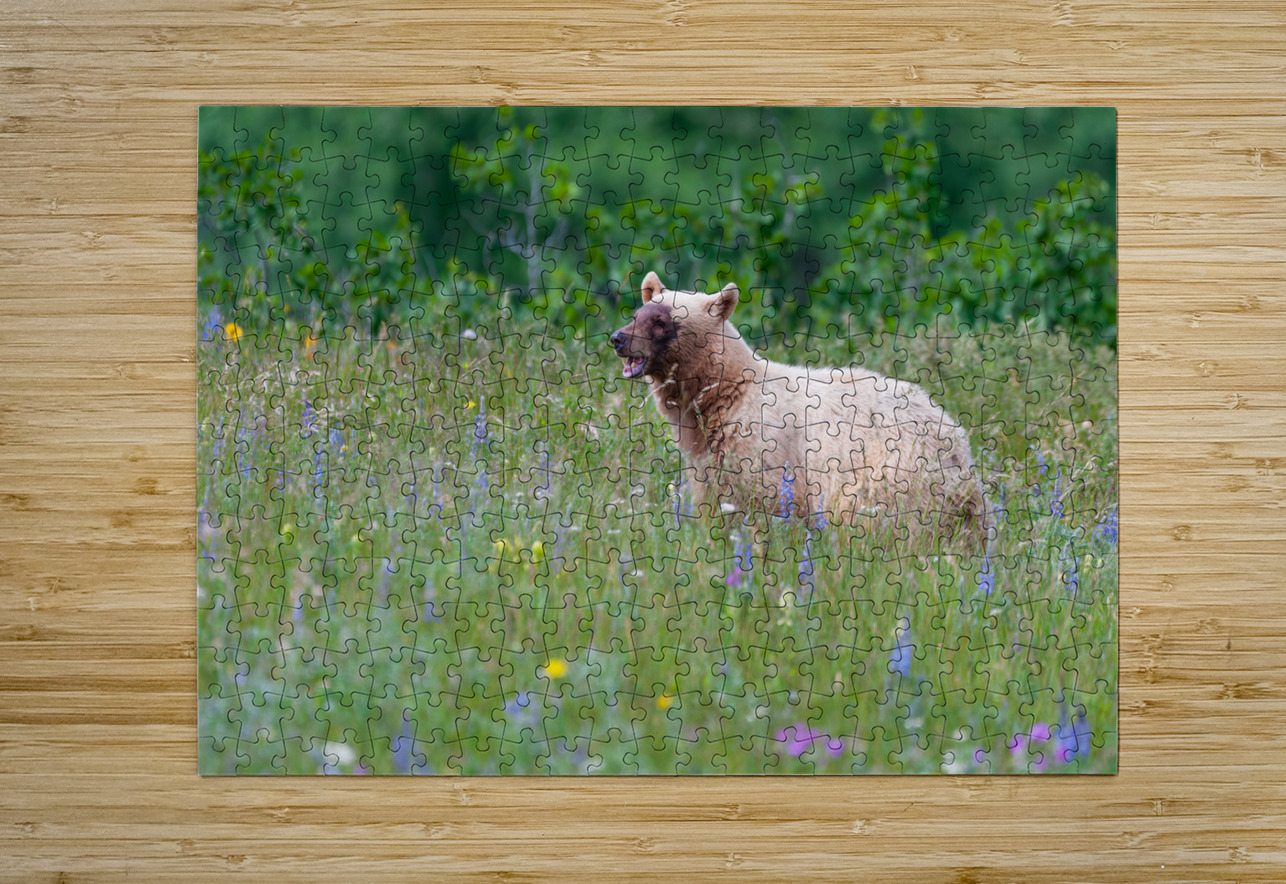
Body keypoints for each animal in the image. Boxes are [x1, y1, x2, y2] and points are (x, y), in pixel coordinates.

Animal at [609, 271, 993, 551]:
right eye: (638, 314)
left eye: (661, 320)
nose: (618, 338)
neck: (719, 396)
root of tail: (957, 444)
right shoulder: (707, 458)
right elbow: (714, 505)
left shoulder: (764, 448)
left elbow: (760, 508)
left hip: (888, 477)